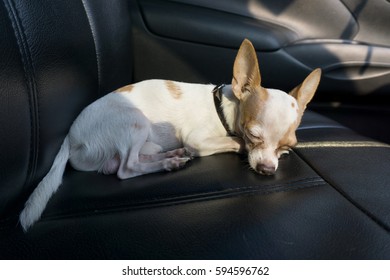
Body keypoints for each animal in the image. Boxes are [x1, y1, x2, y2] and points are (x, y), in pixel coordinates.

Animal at [19, 40, 322, 232]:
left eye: (288, 146)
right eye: (253, 134)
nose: (268, 169)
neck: (225, 108)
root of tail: (70, 137)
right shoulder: (198, 140)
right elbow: (234, 142)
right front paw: (239, 146)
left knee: (118, 164)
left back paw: (171, 155)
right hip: (135, 122)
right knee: (126, 169)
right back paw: (169, 162)